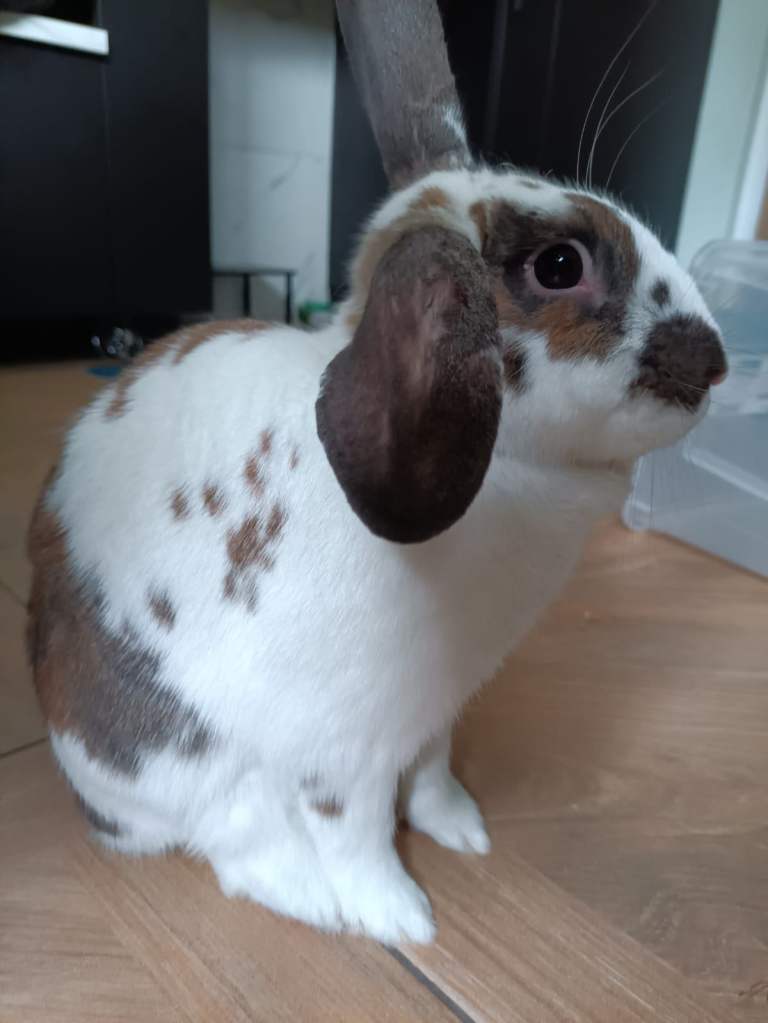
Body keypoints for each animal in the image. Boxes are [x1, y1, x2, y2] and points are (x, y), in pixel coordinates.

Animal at [27, 1, 727, 945]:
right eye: (558, 266)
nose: (715, 360)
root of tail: (94, 811)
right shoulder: (343, 752)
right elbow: (356, 832)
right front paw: (402, 916)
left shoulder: (436, 711)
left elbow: (430, 776)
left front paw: (462, 829)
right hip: (191, 765)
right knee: (240, 849)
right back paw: (319, 902)